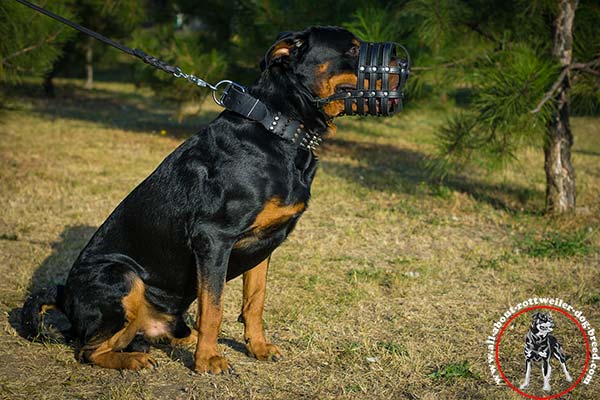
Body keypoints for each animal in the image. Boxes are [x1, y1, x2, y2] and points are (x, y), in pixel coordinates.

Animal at [19, 26, 404, 374]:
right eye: (352, 48)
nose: (402, 60)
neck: (279, 127)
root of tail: (63, 296)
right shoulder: (213, 238)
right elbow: (214, 308)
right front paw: (208, 361)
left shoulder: (264, 244)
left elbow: (255, 301)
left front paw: (258, 348)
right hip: (121, 276)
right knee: (87, 349)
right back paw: (135, 359)